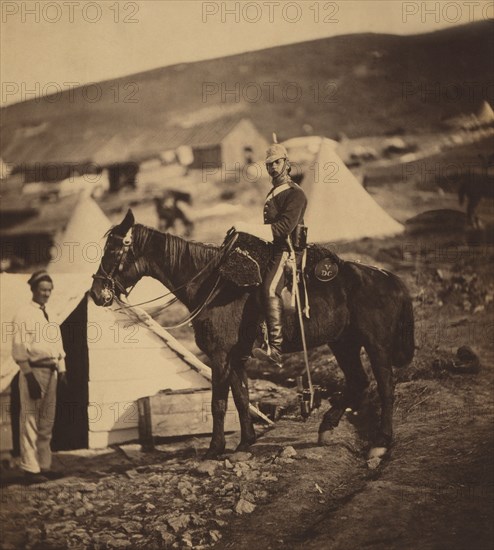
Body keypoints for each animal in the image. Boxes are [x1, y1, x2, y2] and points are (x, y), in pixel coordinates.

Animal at [90, 211, 414, 462]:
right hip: (344, 343)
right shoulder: (237, 357)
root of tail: (391, 278)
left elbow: (219, 404)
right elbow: (242, 397)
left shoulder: (220, 356)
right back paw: (326, 426)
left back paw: (381, 440)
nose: (96, 293)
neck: (213, 284)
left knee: (385, 387)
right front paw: (246, 442)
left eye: (113, 251)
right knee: (358, 381)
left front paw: (214, 449)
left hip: (376, 345)